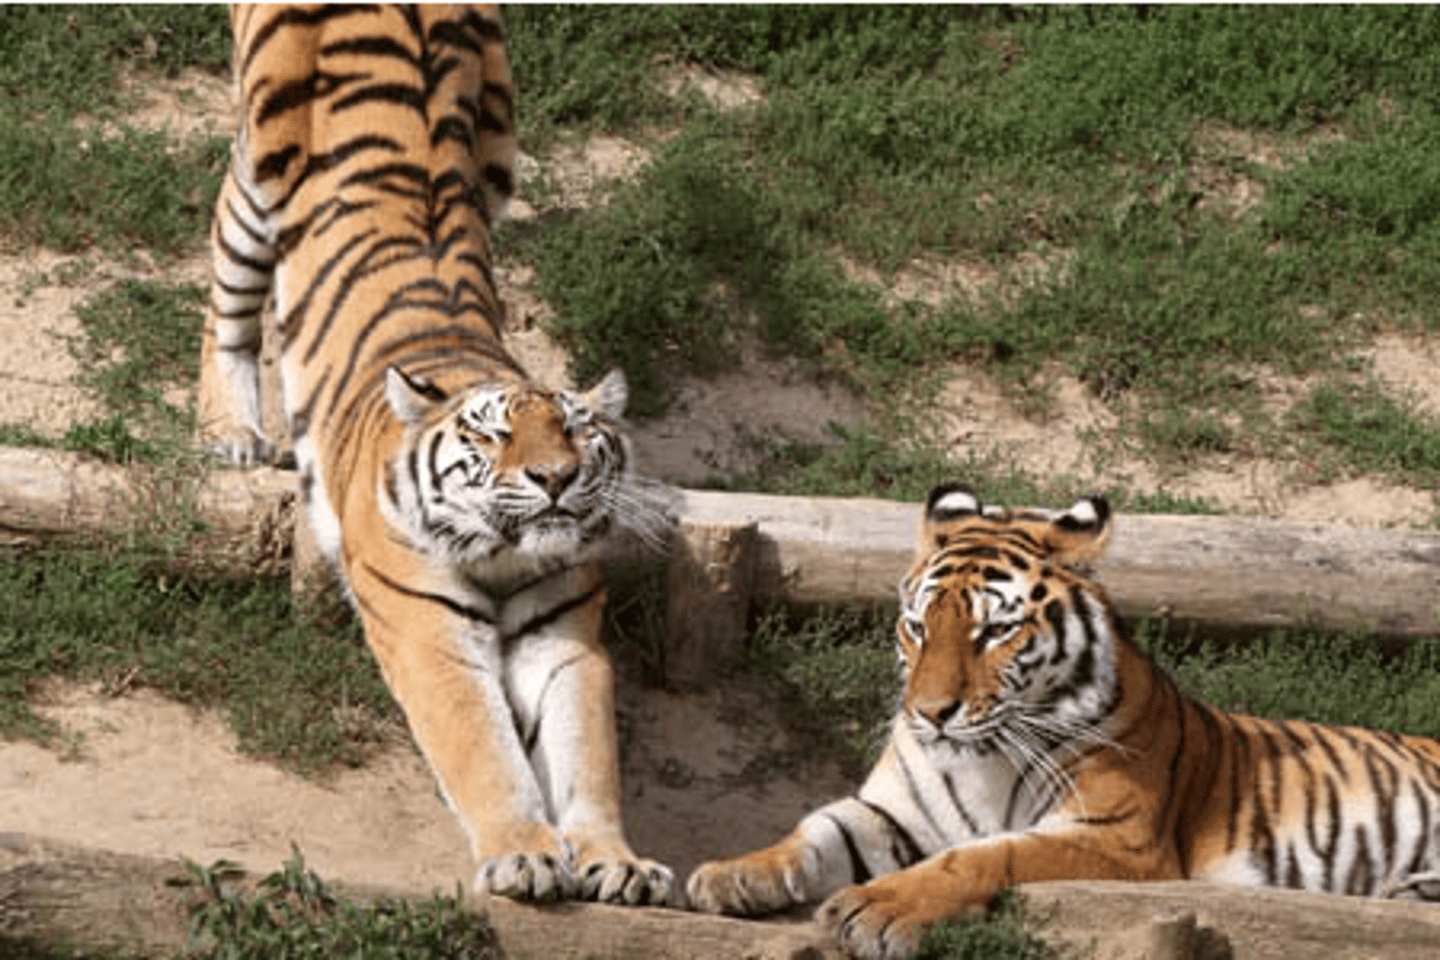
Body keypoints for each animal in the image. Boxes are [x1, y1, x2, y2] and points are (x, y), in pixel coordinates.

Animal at [195, 4, 676, 905]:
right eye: (493, 435)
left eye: (577, 434)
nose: (555, 479)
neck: (507, 558)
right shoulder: (426, 629)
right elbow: (482, 751)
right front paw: (525, 855)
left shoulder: (566, 640)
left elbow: (589, 759)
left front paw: (617, 862)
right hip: (260, 169)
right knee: (228, 280)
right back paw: (229, 431)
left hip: (498, 145)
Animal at [687, 482, 1440, 957]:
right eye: (917, 627)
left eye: (994, 631)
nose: (929, 715)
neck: (984, 757)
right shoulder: (894, 811)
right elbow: (815, 830)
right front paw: (731, 875)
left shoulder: (1116, 836)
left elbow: (987, 854)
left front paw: (874, 910)